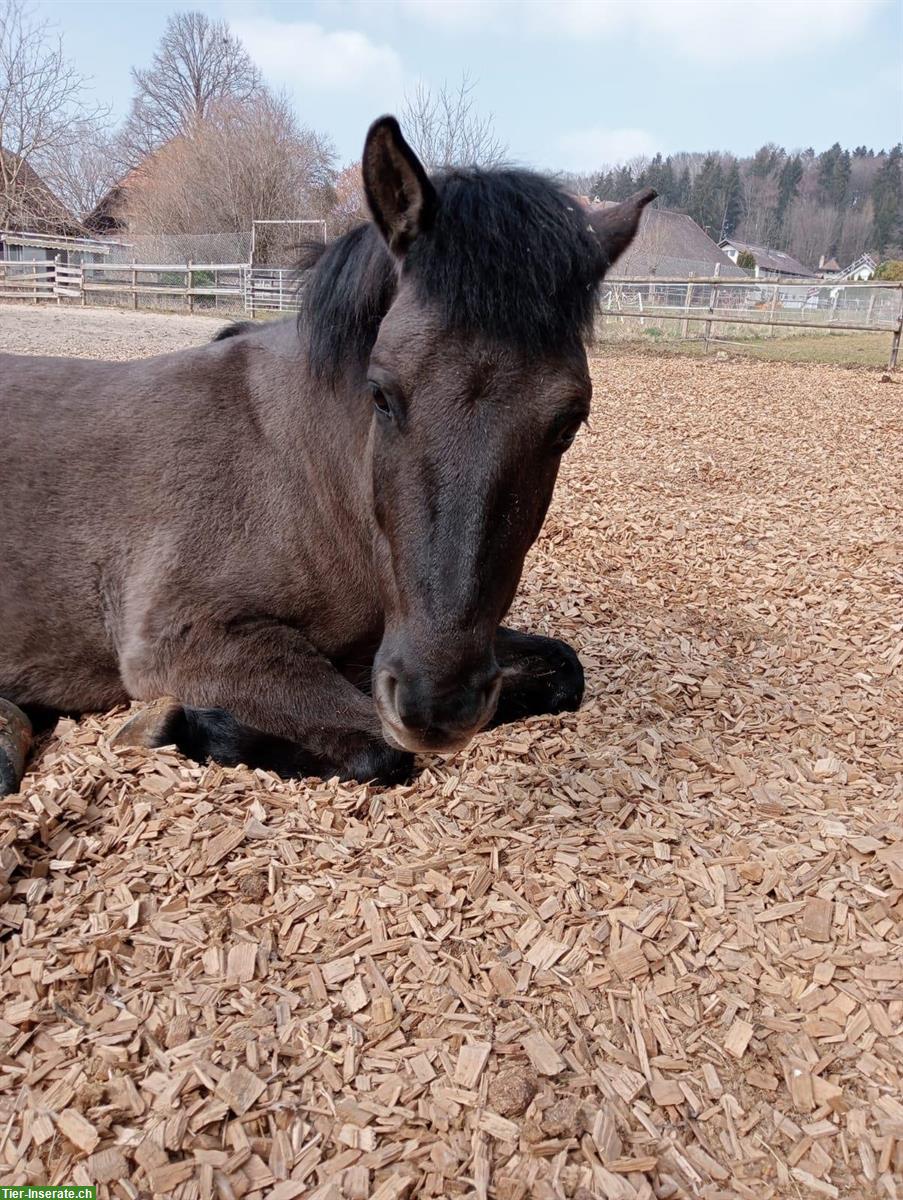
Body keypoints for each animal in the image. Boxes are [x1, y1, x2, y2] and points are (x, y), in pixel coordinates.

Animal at [0, 117, 648, 792]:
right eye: (380, 393)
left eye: (569, 423)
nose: (437, 702)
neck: (298, 473)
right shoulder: (189, 642)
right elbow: (380, 749)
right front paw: (172, 727)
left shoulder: (380, 643)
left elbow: (563, 669)